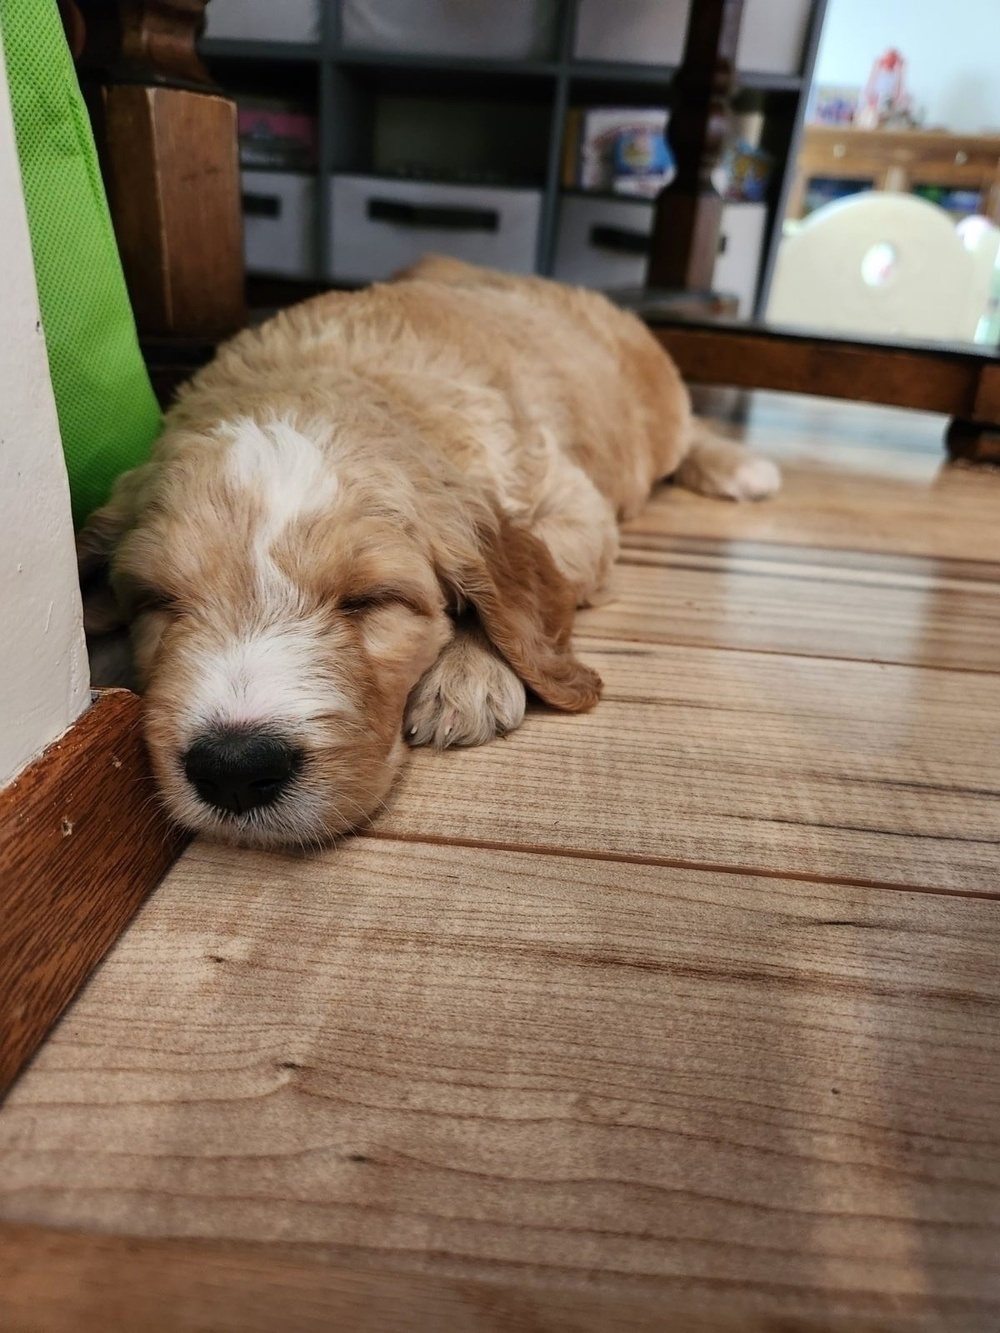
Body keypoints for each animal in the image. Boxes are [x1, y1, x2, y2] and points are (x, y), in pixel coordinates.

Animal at [78, 254, 784, 847]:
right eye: (158, 602)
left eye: (370, 601)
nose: (232, 767)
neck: (324, 376)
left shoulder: (572, 500)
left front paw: (467, 674)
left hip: (655, 410)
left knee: (688, 430)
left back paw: (741, 466)